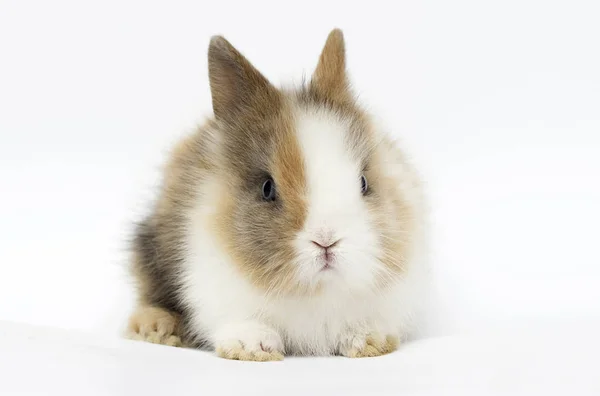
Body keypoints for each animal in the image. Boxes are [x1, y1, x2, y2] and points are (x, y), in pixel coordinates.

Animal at [126, 28, 428, 362]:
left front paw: (368, 340)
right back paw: (155, 328)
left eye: (363, 182)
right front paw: (251, 347)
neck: (313, 292)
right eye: (267, 188)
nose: (327, 240)